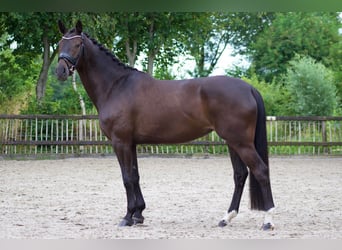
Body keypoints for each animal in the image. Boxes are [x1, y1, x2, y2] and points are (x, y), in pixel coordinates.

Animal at [56, 21, 276, 230]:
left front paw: (127, 217)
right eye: (59, 44)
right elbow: (135, 176)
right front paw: (138, 215)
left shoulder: (121, 142)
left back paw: (268, 220)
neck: (116, 86)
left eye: (78, 44)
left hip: (241, 143)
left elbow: (127, 178)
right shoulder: (131, 143)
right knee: (240, 175)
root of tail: (248, 88)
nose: (60, 71)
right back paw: (226, 218)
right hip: (232, 142)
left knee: (261, 171)